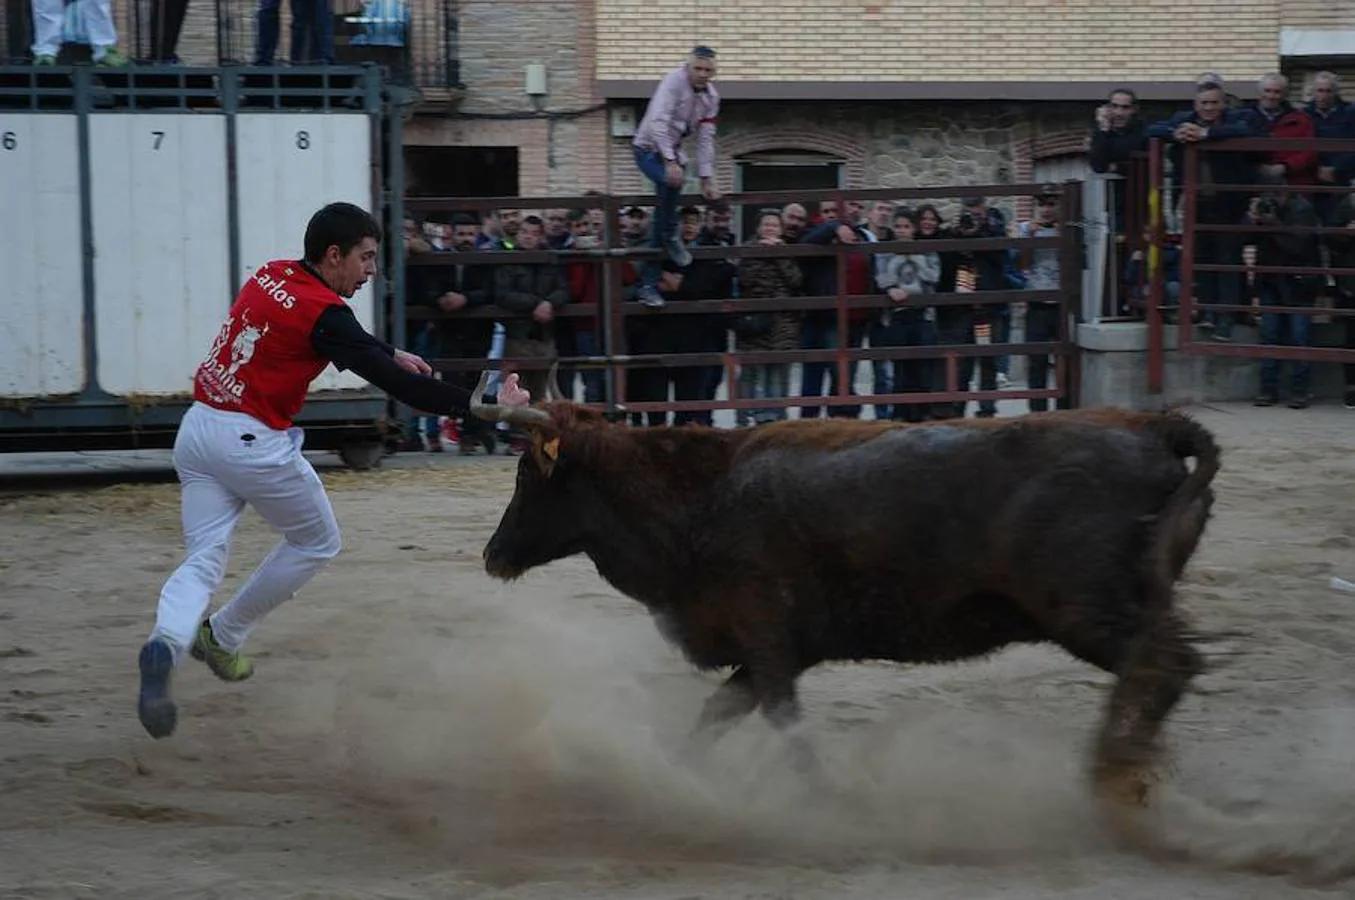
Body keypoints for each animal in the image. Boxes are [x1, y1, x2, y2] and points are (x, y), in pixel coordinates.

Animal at [466, 382, 1219, 802]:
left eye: (527, 477)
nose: (492, 555)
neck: (699, 496)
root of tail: (1153, 427)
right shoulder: (768, 652)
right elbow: (717, 715)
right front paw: (677, 772)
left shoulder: (768, 641)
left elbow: (784, 722)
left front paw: (823, 795)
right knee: (1164, 670)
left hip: (1089, 613)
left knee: (1161, 667)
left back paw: (1113, 771)